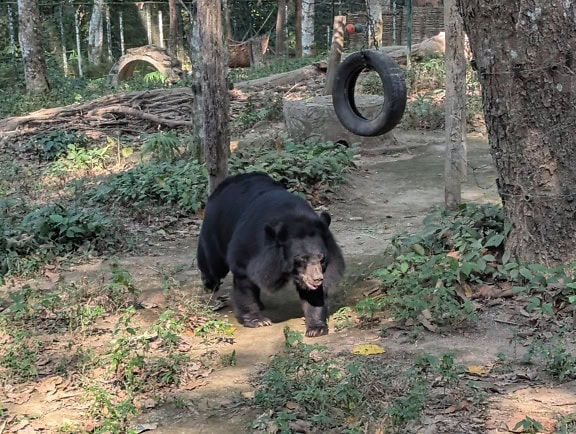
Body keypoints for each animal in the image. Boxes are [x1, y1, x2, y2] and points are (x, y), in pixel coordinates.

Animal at [196, 171, 344, 338]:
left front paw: (316, 328)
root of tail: (224, 184)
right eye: (301, 259)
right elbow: (244, 281)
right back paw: (209, 285)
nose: (317, 279)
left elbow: (313, 295)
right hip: (216, 228)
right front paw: (258, 320)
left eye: (322, 259)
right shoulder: (250, 249)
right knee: (213, 263)